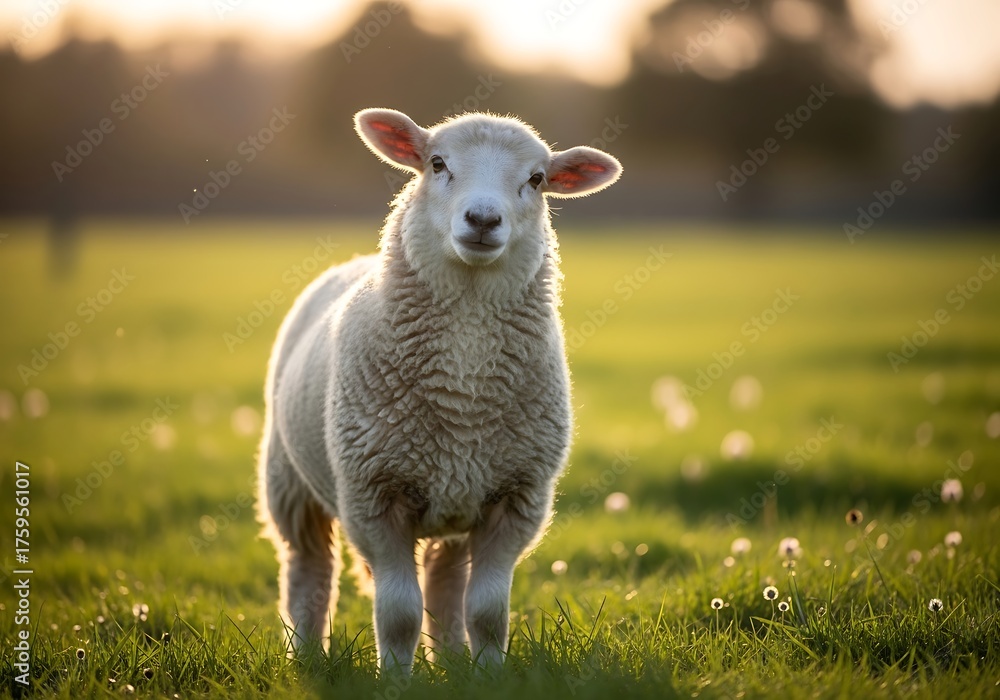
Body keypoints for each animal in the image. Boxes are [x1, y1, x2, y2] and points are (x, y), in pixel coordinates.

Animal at [257, 107, 622, 671]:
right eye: (437, 163)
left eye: (537, 179)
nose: (483, 220)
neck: (464, 389)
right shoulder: (373, 496)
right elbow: (399, 614)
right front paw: (394, 679)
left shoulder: (517, 498)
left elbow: (487, 612)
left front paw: (489, 676)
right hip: (289, 483)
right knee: (308, 572)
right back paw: (308, 659)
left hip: (458, 499)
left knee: (444, 582)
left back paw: (450, 661)